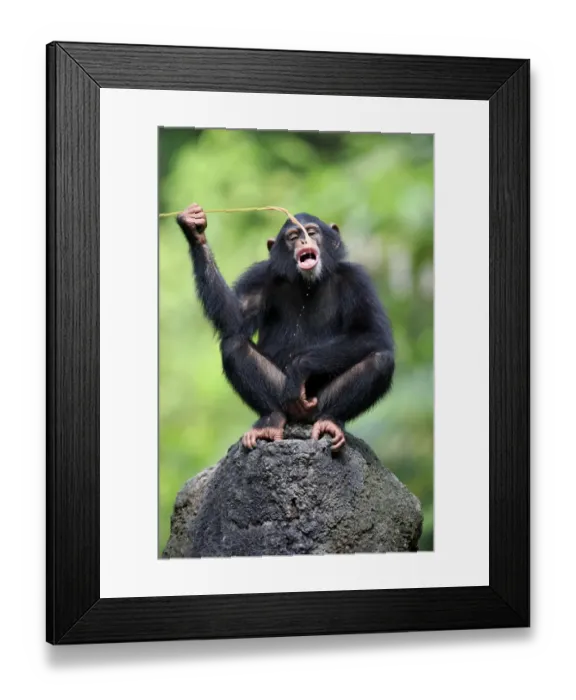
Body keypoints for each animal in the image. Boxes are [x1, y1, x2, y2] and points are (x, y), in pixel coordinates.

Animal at [176, 203, 395, 452]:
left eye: (311, 232)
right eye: (293, 236)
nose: (304, 240)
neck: (307, 282)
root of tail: (300, 419)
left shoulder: (358, 281)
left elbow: (373, 333)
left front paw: (300, 367)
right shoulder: (259, 276)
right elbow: (235, 319)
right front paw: (195, 230)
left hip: (315, 404)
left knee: (381, 360)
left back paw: (330, 421)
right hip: (283, 398)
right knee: (234, 345)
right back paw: (270, 422)